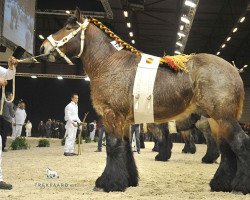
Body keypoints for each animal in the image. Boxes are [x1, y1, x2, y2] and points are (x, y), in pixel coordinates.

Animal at [41, 9, 250, 194]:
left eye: (68, 27)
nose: (43, 47)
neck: (109, 63)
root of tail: (233, 69)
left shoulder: (112, 115)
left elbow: (113, 146)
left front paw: (108, 183)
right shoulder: (125, 121)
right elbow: (126, 148)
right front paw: (128, 180)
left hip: (223, 118)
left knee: (240, 143)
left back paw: (240, 187)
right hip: (216, 120)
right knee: (226, 148)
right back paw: (221, 183)